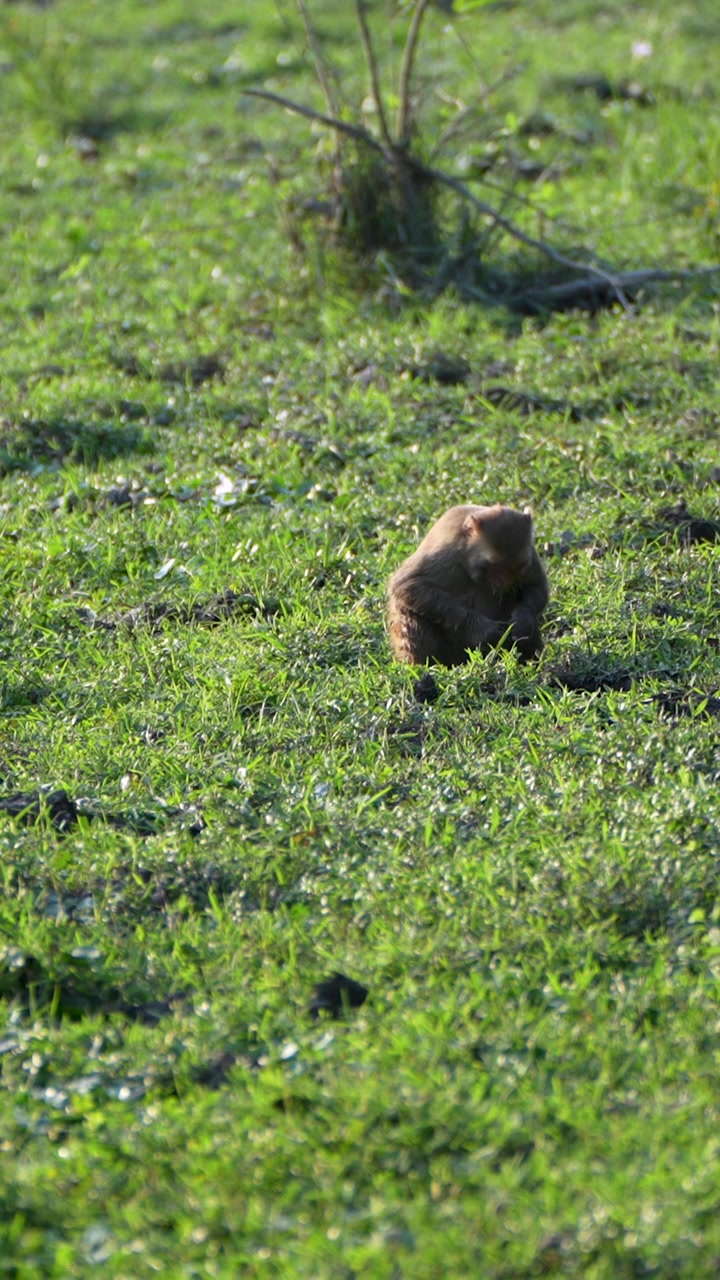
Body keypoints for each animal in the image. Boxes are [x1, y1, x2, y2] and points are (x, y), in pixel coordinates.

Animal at [387, 503, 549, 667]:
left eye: (518, 567)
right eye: (496, 566)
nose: (504, 582)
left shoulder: (531, 555)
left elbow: (536, 586)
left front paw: (522, 621)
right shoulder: (447, 553)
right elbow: (408, 584)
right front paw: (483, 629)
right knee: (408, 608)